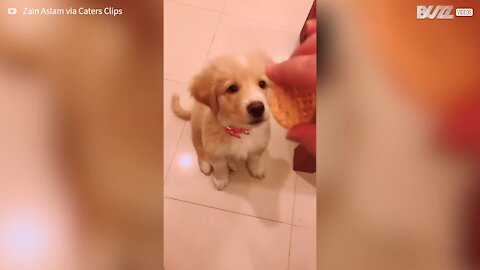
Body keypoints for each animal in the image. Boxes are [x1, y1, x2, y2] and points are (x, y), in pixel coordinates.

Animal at [172, 53, 274, 190]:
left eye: (262, 84)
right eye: (232, 88)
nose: (257, 108)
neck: (240, 131)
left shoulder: (261, 142)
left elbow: (254, 158)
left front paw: (255, 169)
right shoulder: (213, 150)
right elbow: (220, 167)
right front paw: (221, 180)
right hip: (197, 128)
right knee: (198, 146)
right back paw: (205, 164)